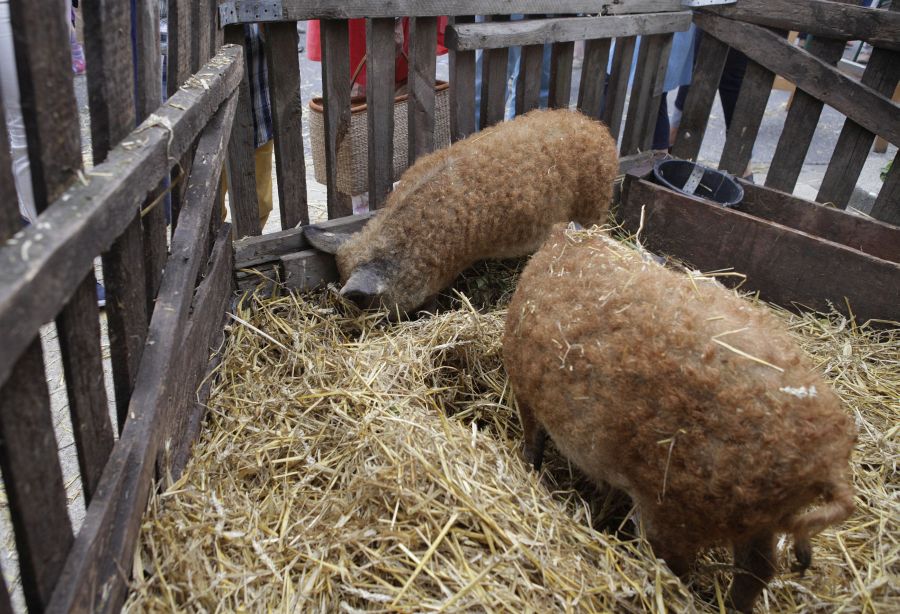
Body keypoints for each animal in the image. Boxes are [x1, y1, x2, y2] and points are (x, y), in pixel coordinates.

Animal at [502, 225, 856, 613]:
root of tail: (825, 462)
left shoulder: (523, 386)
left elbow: (532, 438)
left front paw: (528, 467)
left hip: (675, 511)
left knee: (680, 569)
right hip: (759, 522)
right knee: (759, 570)